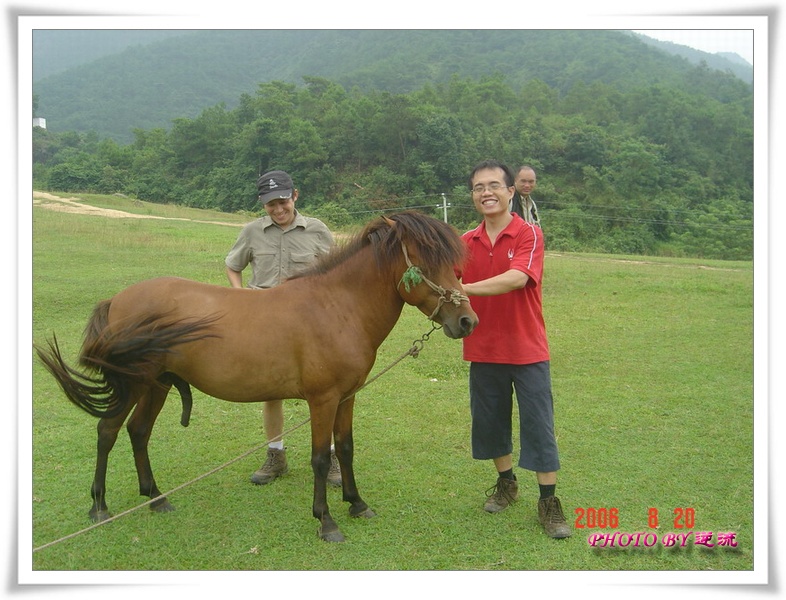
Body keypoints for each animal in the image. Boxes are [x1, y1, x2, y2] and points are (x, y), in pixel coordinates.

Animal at [35, 210, 478, 542]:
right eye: (426, 263)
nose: (466, 321)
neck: (336, 307)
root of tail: (117, 300)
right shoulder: (322, 399)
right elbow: (321, 458)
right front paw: (326, 521)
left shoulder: (347, 396)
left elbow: (346, 448)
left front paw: (356, 503)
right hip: (134, 385)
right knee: (107, 431)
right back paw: (99, 506)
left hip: (155, 384)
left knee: (138, 431)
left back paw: (156, 498)